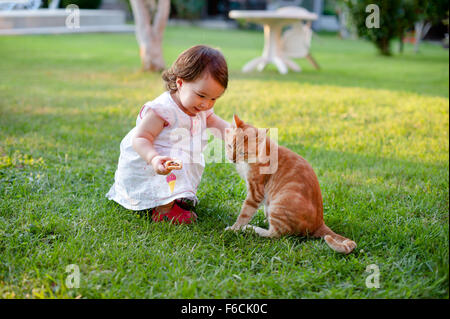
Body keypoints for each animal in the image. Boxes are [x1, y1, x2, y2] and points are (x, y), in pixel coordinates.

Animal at [227, 115, 356, 255]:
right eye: (230, 146)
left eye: (242, 153)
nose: (232, 159)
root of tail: (319, 223)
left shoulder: (256, 192)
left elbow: (244, 213)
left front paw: (234, 228)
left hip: (280, 203)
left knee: (275, 234)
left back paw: (251, 228)